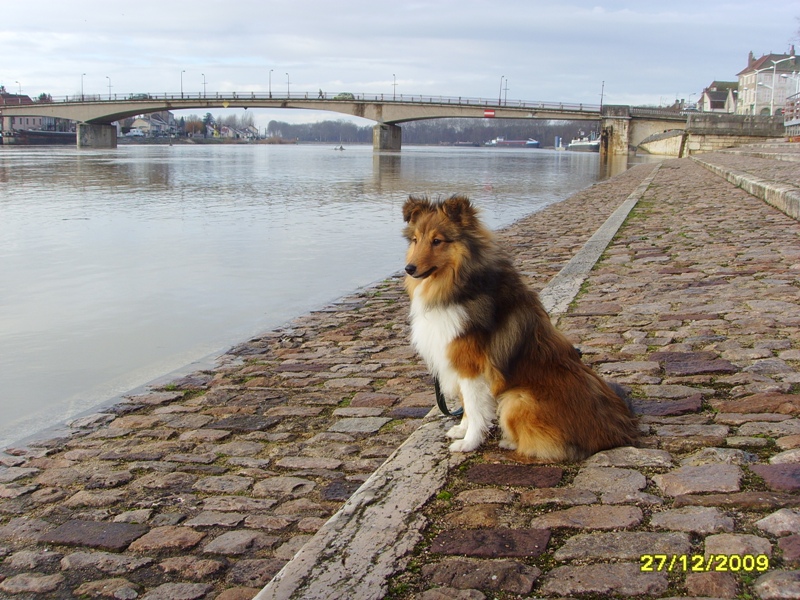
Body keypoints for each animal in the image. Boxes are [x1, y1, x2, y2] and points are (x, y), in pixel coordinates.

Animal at [404, 195, 640, 462]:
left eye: (437, 241)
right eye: (415, 240)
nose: (409, 268)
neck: (458, 287)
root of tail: (621, 431)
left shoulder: (470, 366)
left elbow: (474, 408)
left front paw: (469, 442)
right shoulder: (454, 361)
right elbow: (466, 405)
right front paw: (461, 429)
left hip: (517, 398)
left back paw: (509, 442)